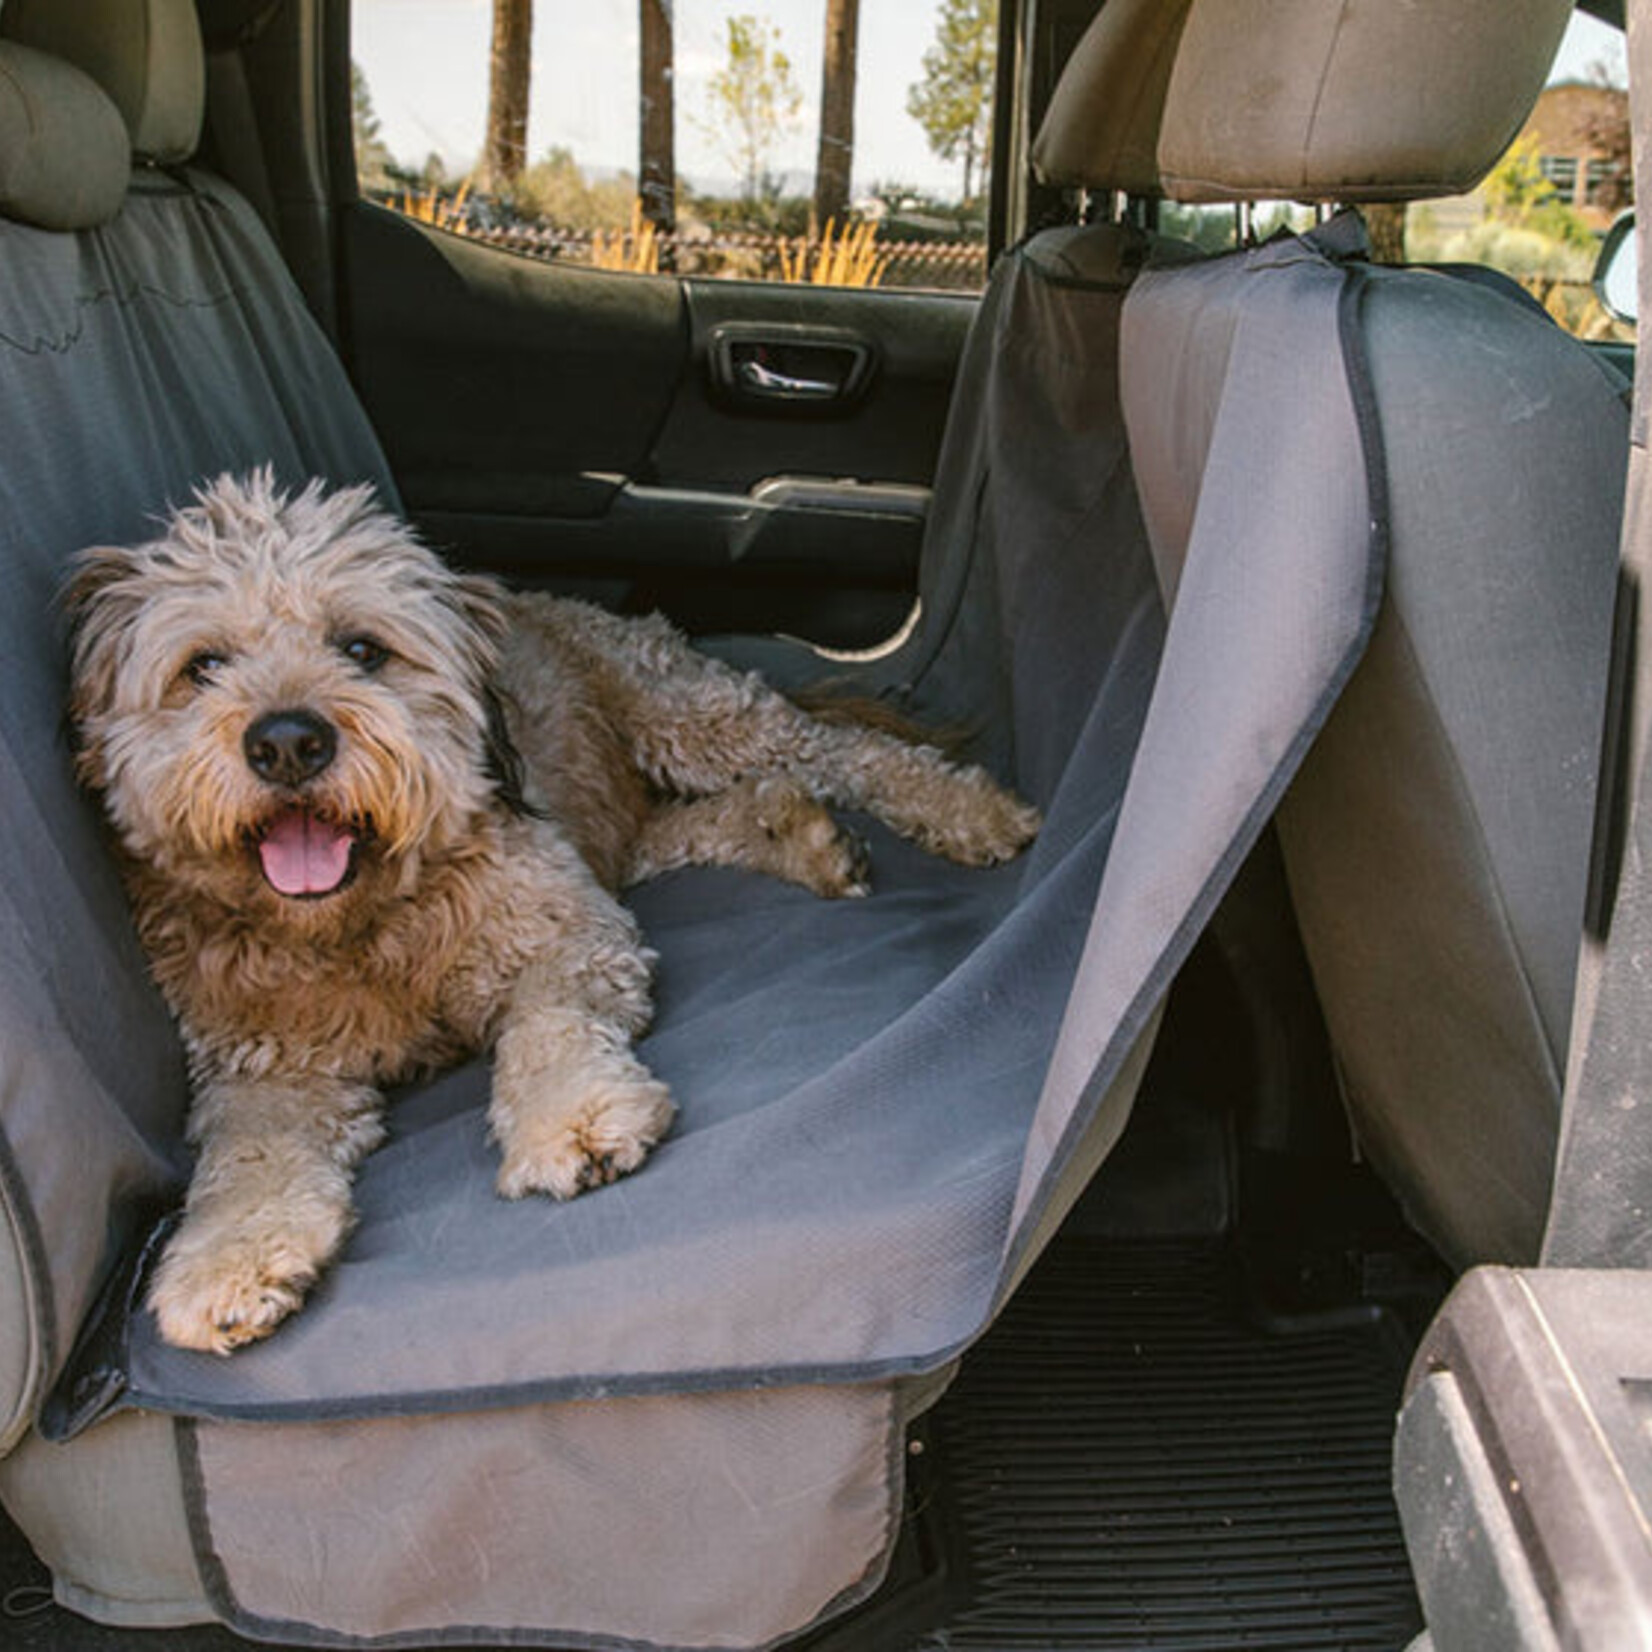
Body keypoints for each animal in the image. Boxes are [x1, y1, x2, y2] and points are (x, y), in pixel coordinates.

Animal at [67, 472, 1044, 1348]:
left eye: (363, 649)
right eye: (203, 666)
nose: (287, 741)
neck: (362, 928)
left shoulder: (564, 928)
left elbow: (546, 1026)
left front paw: (570, 1122)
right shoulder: (261, 1066)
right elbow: (246, 1157)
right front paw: (225, 1265)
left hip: (692, 718)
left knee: (842, 750)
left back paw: (969, 810)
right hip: (621, 812)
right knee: (703, 820)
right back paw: (800, 838)